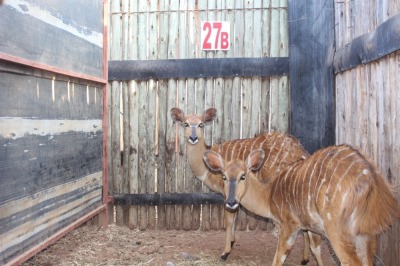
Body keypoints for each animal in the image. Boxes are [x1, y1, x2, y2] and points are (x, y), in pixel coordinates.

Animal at [170, 107, 320, 262]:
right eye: (185, 124)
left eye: (201, 124)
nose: (193, 138)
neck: (207, 166)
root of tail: (301, 152)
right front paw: (232, 241)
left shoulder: (227, 194)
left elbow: (229, 219)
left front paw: (225, 253)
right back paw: (304, 259)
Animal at [203, 147, 400, 264]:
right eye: (224, 176)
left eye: (243, 175)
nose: (231, 202)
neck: (270, 194)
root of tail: (370, 176)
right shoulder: (311, 227)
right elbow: (315, 249)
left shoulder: (290, 225)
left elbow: (279, 257)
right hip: (365, 235)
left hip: (337, 231)